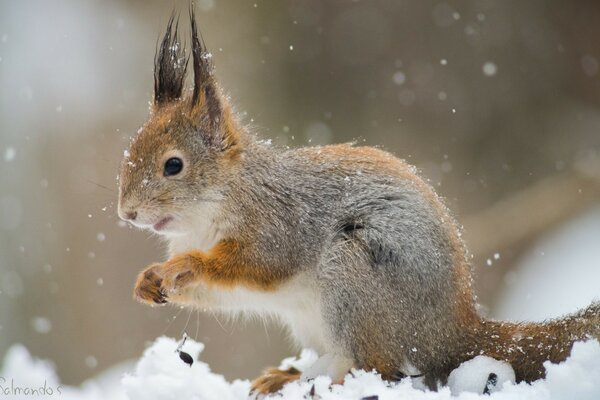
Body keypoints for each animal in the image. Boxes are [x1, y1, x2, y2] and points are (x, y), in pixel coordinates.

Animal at [117, 10, 600, 396]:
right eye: (130, 151)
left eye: (173, 165)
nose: (127, 213)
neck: (215, 207)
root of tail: (452, 332)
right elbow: (216, 293)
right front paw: (147, 281)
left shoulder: (279, 226)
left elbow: (255, 264)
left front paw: (186, 265)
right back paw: (289, 377)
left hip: (355, 276)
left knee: (381, 367)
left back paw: (328, 381)